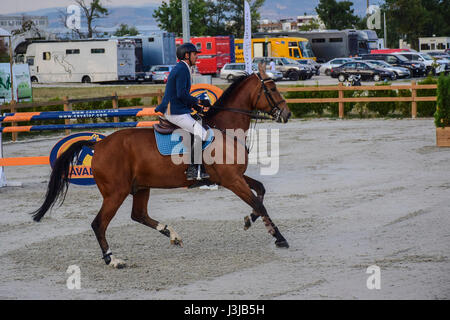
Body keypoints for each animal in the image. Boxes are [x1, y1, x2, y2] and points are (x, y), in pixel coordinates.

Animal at [30, 62, 292, 268]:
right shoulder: (231, 180)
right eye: (271, 88)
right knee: (99, 224)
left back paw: (171, 234)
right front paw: (278, 237)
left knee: (138, 215)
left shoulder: (234, 176)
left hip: (140, 187)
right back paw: (113, 259)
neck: (226, 129)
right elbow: (259, 202)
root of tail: (99, 143)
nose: (287, 114)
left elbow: (260, 193)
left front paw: (251, 221)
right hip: (116, 192)